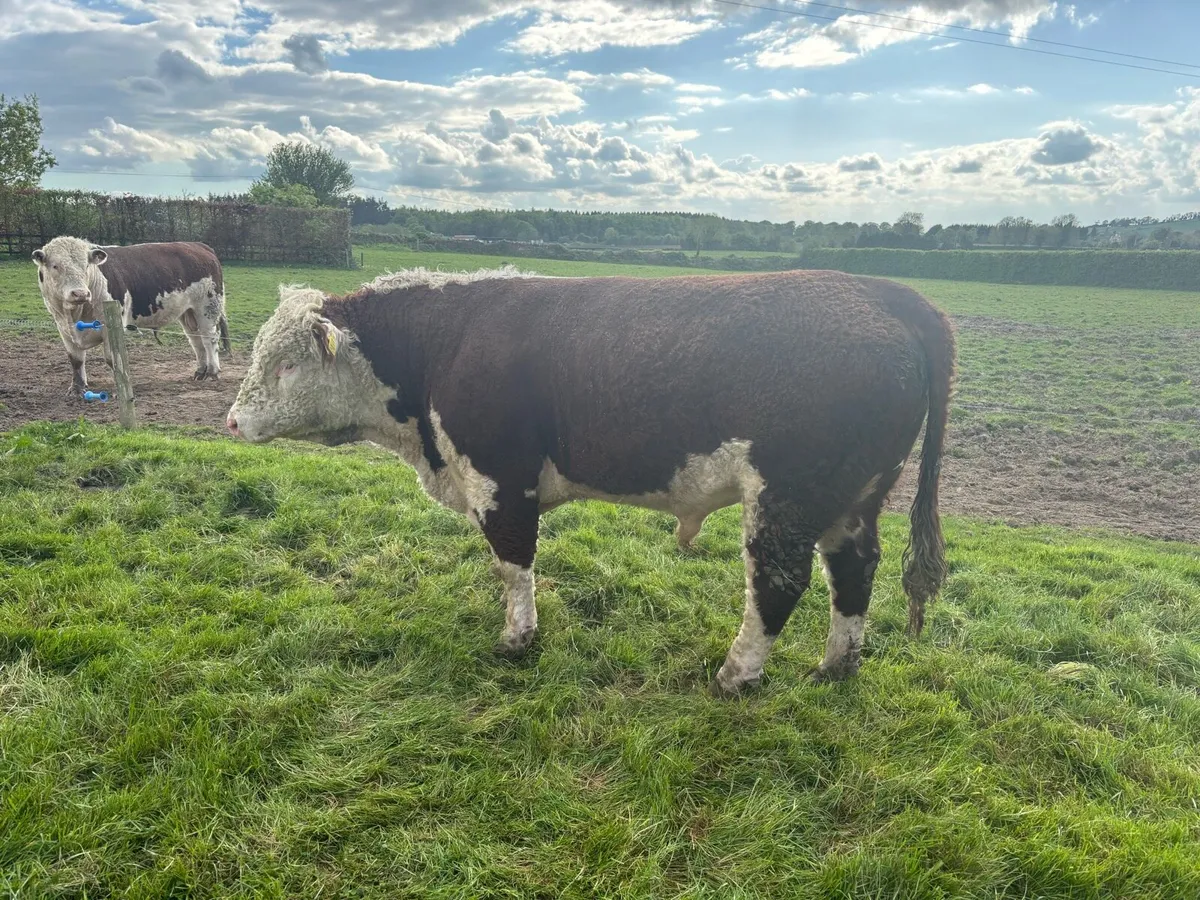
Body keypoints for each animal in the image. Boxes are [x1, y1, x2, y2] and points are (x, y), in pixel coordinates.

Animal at [32, 236, 230, 397]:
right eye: (55, 266)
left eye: (86, 265)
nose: (80, 293)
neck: (76, 314)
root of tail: (199, 245)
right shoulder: (64, 328)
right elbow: (76, 360)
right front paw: (77, 388)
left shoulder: (110, 326)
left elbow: (112, 358)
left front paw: (120, 388)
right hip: (187, 312)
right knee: (196, 340)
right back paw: (200, 371)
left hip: (207, 307)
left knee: (209, 338)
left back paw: (212, 372)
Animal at [226, 266, 955, 696]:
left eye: (286, 363)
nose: (231, 420)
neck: (444, 342)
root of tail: (880, 290)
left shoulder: (500, 477)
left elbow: (513, 561)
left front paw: (517, 638)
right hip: (854, 498)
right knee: (853, 570)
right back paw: (836, 665)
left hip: (789, 495)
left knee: (779, 581)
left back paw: (735, 674)